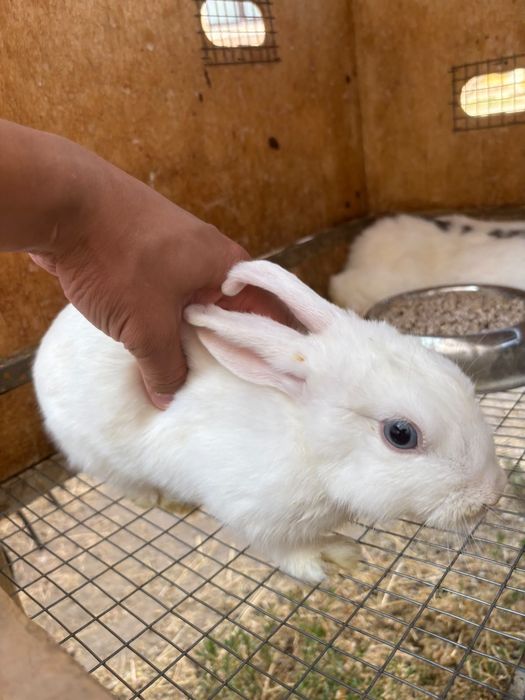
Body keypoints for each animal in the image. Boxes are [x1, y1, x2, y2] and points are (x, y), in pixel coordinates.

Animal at [33, 260, 505, 583]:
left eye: (460, 379)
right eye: (401, 434)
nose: (491, 494)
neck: (307, 447)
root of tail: (44, 349)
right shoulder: (256, 515)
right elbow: (285, 551)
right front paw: (334, 560)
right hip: (101, 454)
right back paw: (166, 501)